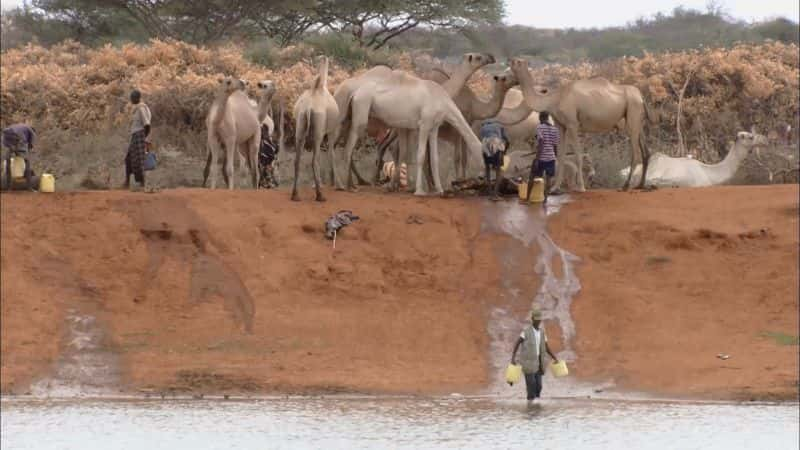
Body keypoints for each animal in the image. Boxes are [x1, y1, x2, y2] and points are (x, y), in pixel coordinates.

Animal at [292, 56, 340, 202]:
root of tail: (308, 108)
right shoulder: (331, 130)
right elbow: (331, 152)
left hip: (300, 126)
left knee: (297, 159)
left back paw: (295, 195)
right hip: (318, 131)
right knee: (314, 160)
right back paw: (320, 195)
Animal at [510, 57, 652, 192]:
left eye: (517, 62)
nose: (510, 61)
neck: (554, 99)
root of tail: (641, 96)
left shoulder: (572, 124)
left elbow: (578, 156)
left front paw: (581, 187)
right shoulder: (560, 125)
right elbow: (561, 156)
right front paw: (555, 188)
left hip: (633, 110)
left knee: (636, 153)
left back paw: (625, 186)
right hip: (638, 119)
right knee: (646, 151)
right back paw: (640, 185)